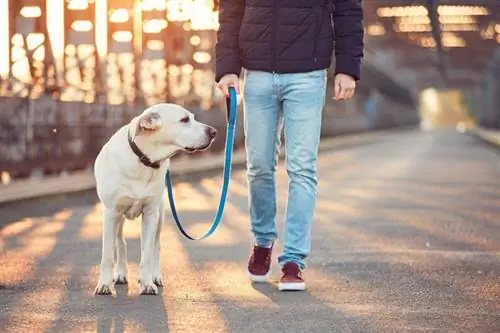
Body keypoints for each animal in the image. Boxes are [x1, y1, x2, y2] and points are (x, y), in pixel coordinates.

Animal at [94, 102, 217, 294]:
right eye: (184, 120)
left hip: (159, 216)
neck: (144, 161)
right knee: (120, 243)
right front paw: (104, 284)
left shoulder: (151, 213)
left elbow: (147, 254)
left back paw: (155, 276)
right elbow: (107, 254)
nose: (213, 132)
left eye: (193, 117)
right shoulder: (111, 212)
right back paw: (121, 273)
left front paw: (146, 283)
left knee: (155, 247)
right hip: (118, 218)